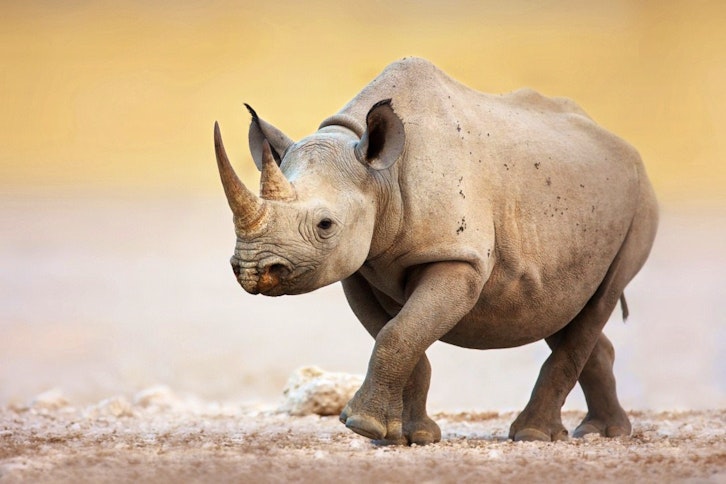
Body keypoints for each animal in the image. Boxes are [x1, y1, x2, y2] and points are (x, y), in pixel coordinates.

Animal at [213, 57, 658, 444]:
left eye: (325, 225)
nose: (252, 270)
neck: (380, 175)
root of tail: (623, 146)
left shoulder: (459, 258)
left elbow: (399, 333)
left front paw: (362, 425)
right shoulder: (360, 266)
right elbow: (400, 334)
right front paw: (406, 436)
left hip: (639, 203)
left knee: (600, 299)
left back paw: (534, 435)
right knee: (561, 308)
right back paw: (603, 432)